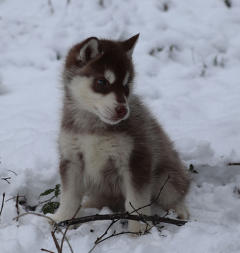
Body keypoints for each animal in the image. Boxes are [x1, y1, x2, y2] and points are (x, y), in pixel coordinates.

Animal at [51, 34, 190, 233]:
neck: (93, 126)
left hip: (166, 177)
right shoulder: (72, 158)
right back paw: (89, 206)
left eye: (126, 86)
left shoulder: (136, 159)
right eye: (102, 82)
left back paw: (179, 210)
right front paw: (61, 219)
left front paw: (139, 228)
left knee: (175, 194)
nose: (123, 110)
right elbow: (69, 196)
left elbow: (136, 200)